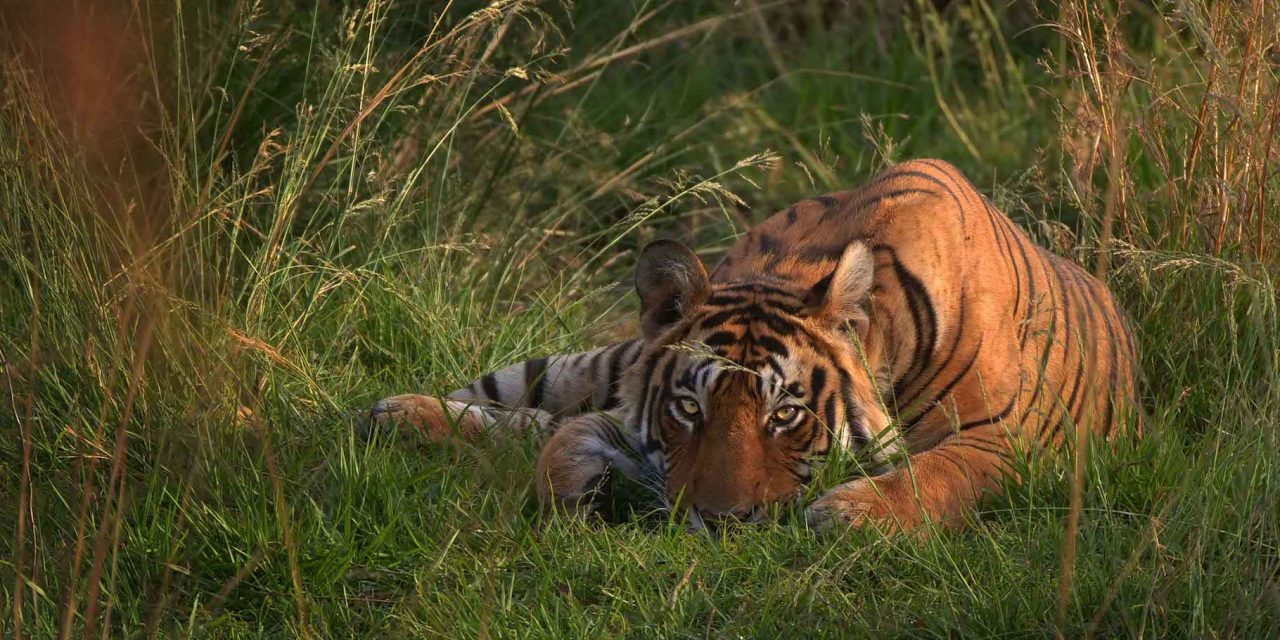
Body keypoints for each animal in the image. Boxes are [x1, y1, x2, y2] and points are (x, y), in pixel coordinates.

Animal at [370, 158, 1141, 533]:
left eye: (786, 415)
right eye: (690, 409)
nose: (720, 522)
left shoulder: (1005, 438)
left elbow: (940, 474)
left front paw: (850, 514)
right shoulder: (639, 413)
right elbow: (564, 438)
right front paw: (573, 488)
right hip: (604, 361)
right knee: (523, 398)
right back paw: (393, 415)